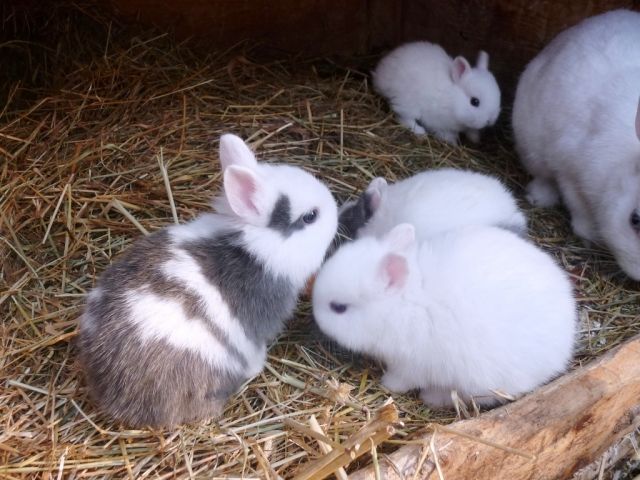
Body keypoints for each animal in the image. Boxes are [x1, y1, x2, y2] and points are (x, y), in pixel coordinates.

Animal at [78, 134, 338, 428]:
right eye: (310, 217)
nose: (335, 206)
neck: (256, 247)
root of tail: (110, 391)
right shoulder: (255, 328)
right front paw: (257, 365)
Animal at [312, 223, 576, 408]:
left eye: (338, 307)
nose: (314, 314)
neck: (403, 304)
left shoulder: (410, 365)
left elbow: (402, 380)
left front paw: (387, 385)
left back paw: (431, 397)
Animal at [372, 41, 501, 144]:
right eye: (475, 102)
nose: (490, 121)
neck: (452, 99)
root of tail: (380, 74)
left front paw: (475, 138)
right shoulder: (437, 121)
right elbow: (442, 131)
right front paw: (452, 140)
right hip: (407, 103)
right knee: (404, 118)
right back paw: (420, 131)